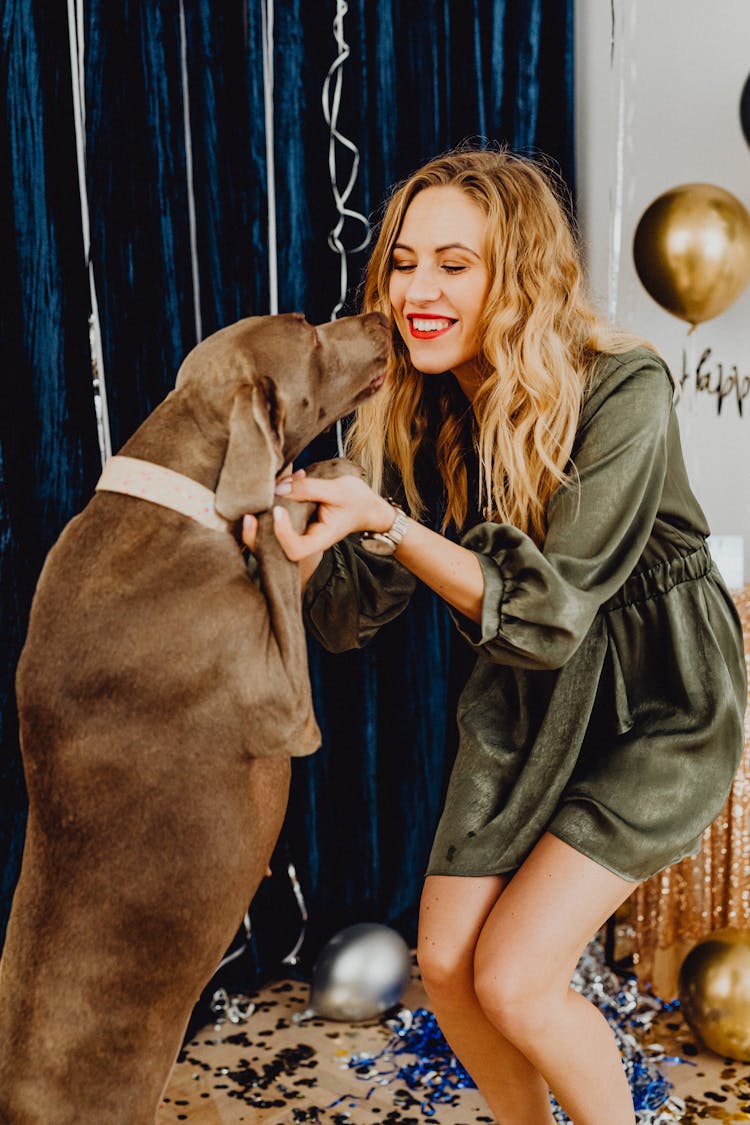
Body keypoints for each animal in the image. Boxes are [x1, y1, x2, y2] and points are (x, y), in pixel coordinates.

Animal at [1, 312, 393, 1120]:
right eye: (311, 334)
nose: (375, 315)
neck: (174, 498)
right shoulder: (287, 708)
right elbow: (274, 529)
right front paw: (319, 483)